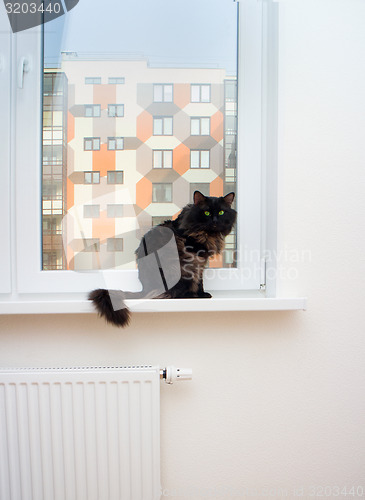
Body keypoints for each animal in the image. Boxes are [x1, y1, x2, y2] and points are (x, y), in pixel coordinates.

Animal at [89, 189, 236, 326]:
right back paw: (191, 295)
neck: (208, 234)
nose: (215, 221)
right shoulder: (196, 259)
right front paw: (201, 294)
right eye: (207, 213)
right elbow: (199, 280)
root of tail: (145, 289)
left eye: (221, 212)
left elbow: (200, 279)